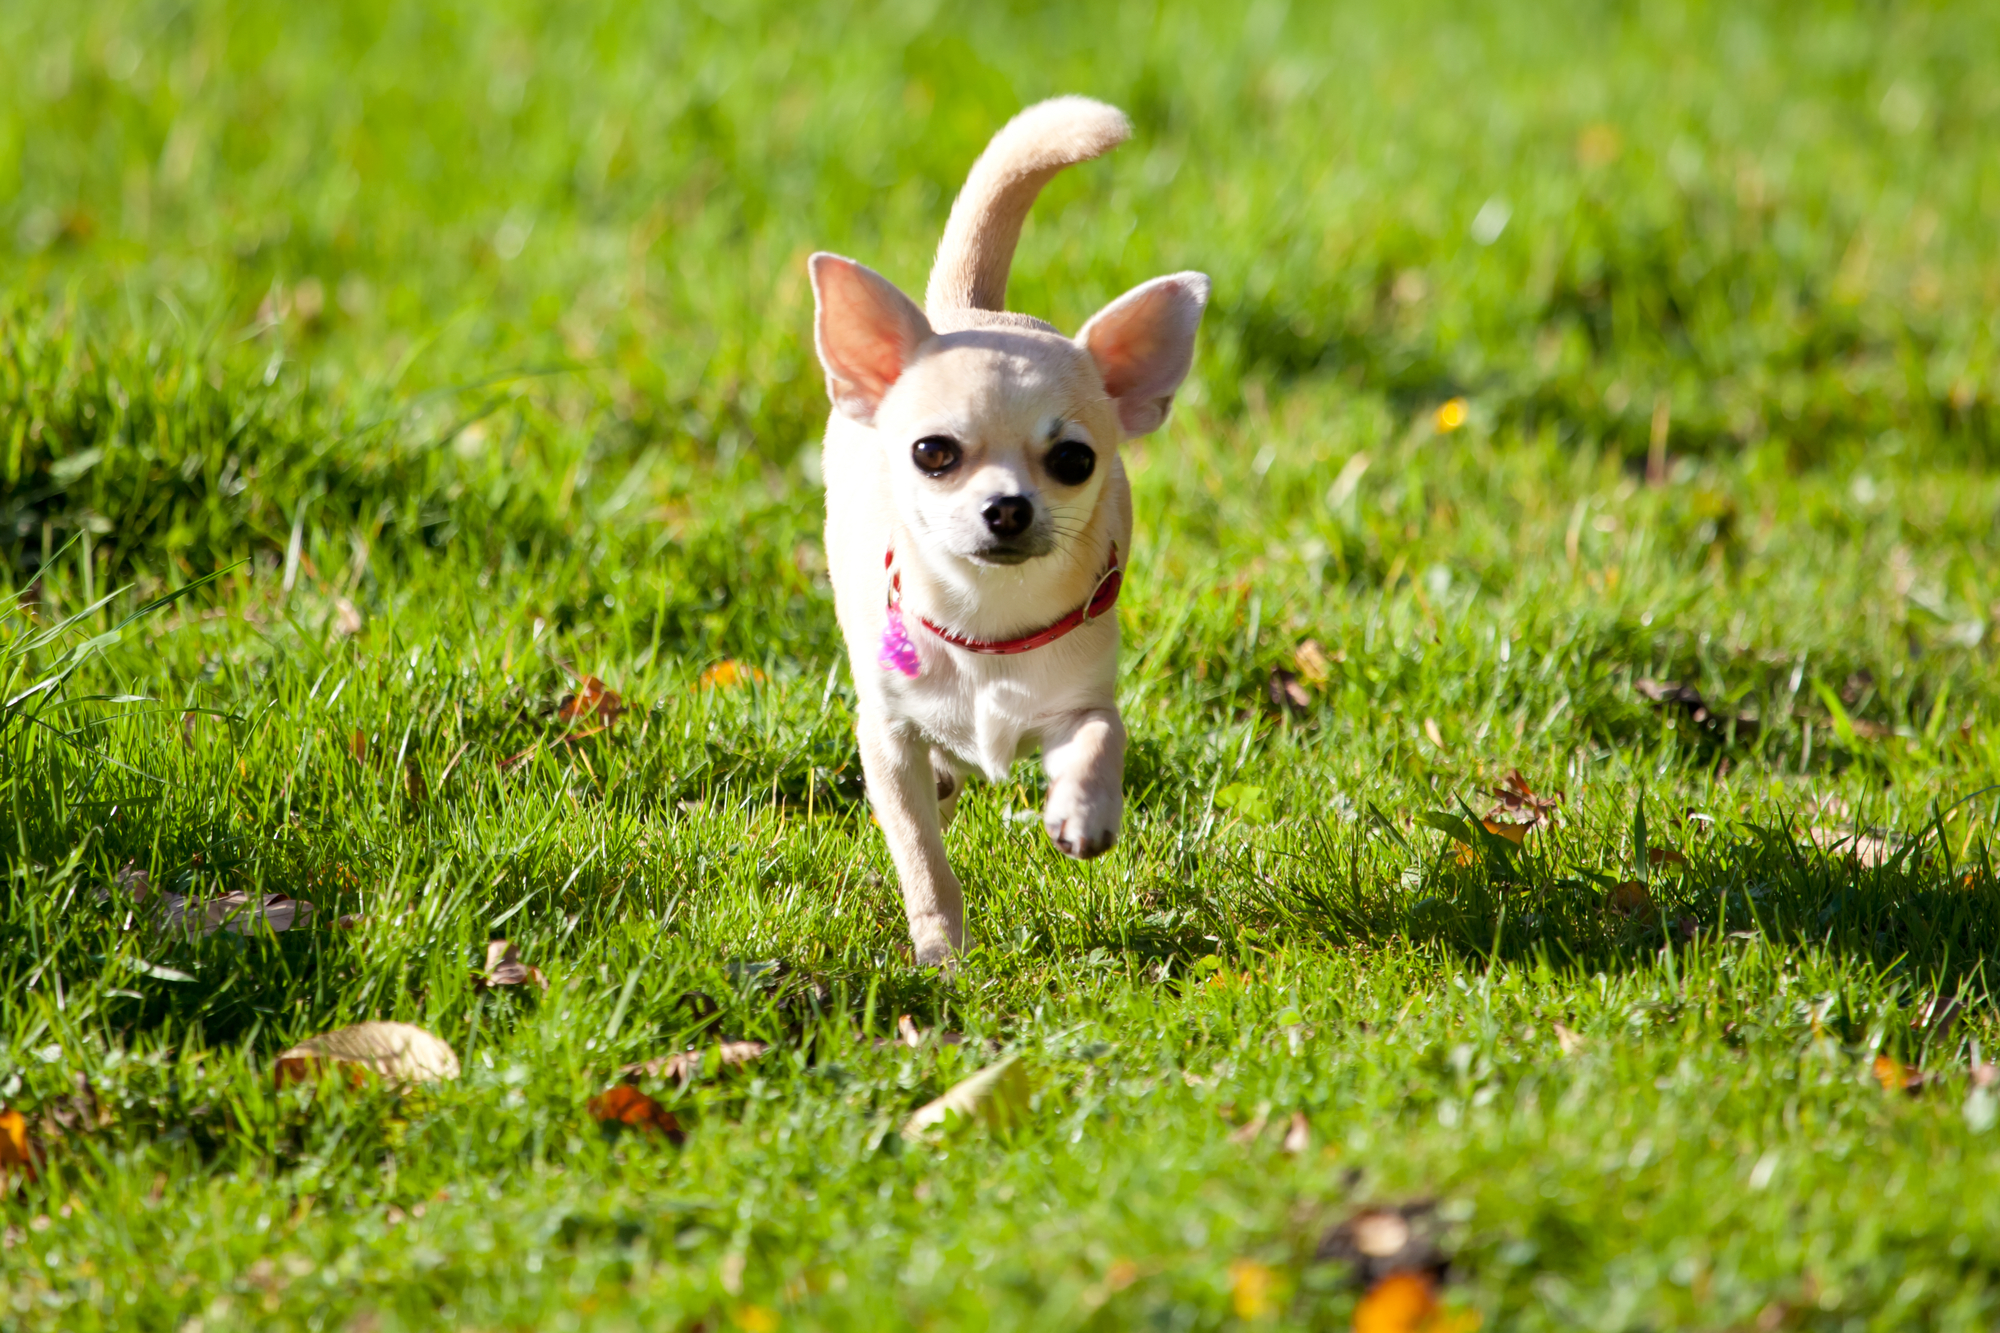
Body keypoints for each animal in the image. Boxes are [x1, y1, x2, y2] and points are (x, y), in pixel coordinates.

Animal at [808, 98, 1200, 960]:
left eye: (1074, 460)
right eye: (933, 452)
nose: (1009, 507)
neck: (985, 623)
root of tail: (969, 310)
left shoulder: (1077, 702)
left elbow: (1103, 736)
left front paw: (1085, 812)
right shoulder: (886, 737)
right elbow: (920, 853)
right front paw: (940, 952)